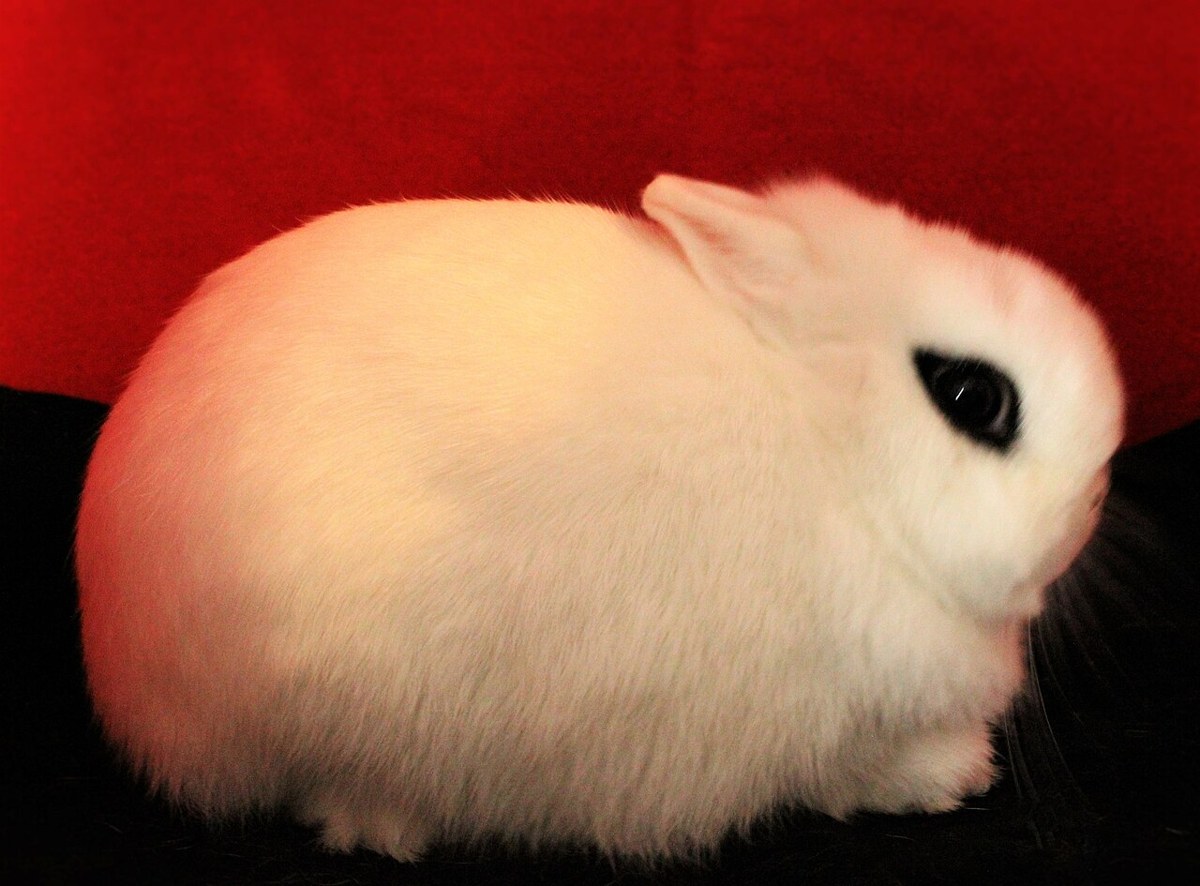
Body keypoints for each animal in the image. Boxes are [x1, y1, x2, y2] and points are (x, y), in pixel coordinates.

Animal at [75, 172, 1124, 861]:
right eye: (973, 396)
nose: (1096, 491)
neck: (839, 458)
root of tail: (116, 643)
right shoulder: (824, 719)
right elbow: (856, 772)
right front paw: (954, 777)